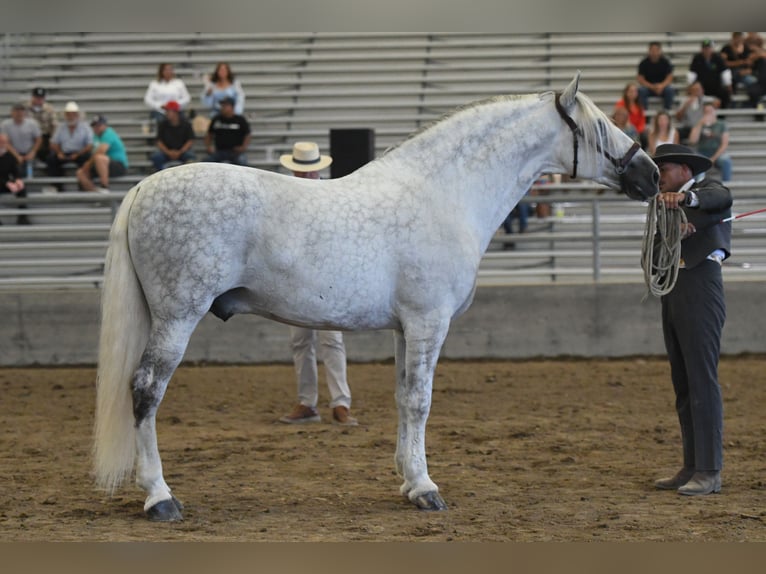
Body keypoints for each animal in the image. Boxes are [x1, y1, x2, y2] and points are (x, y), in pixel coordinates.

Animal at [93, 73, 659, 521]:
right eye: (600, 127)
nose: (651, 174)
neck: (444, 194)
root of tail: (144, 189)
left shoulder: (407, 329)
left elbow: (404, 400)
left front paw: (409, 482)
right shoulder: (430, 323)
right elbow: (421, 400)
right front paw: (427, 490)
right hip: (177, 317)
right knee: (145, 391)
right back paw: (160, 498)